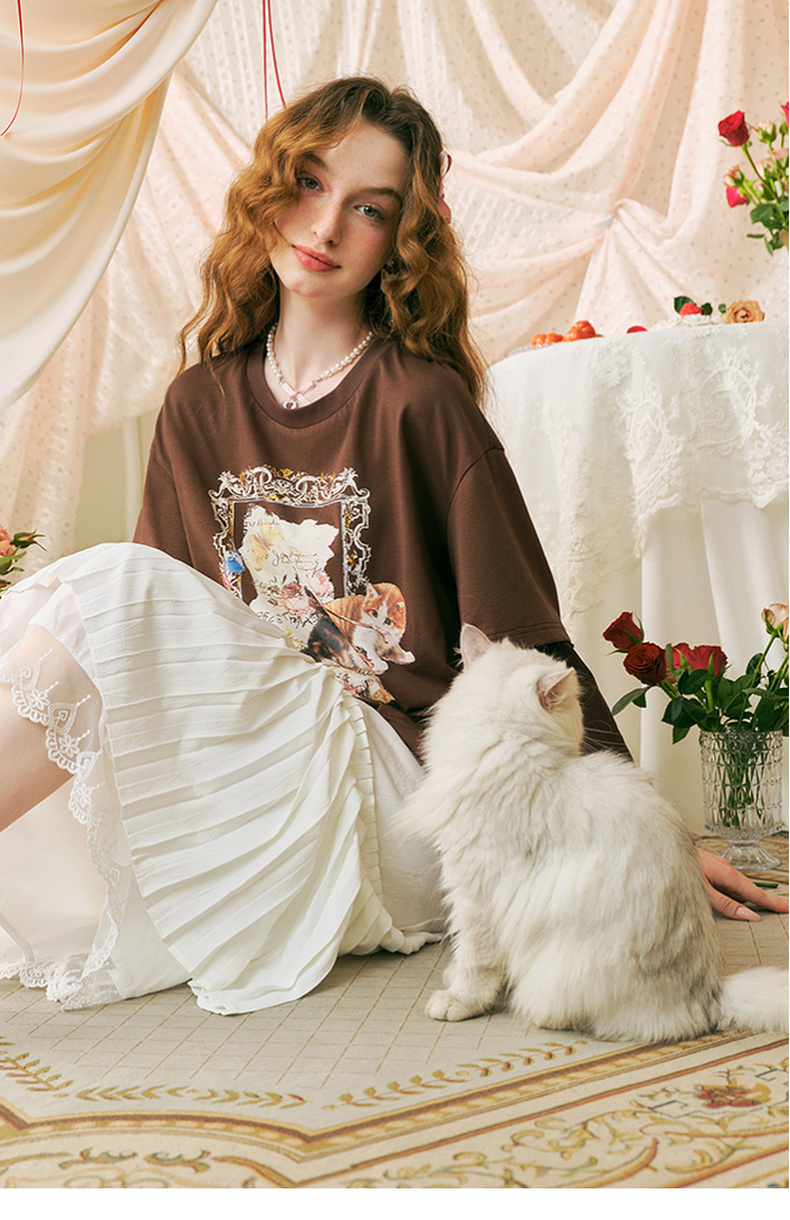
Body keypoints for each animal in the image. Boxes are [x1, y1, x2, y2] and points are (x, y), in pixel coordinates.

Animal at [398, 624, 788, 1043]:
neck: (504, 741)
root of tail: (711, 995)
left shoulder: (475, 895)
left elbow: (475, 962)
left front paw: (458, 1001)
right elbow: (470, 960)